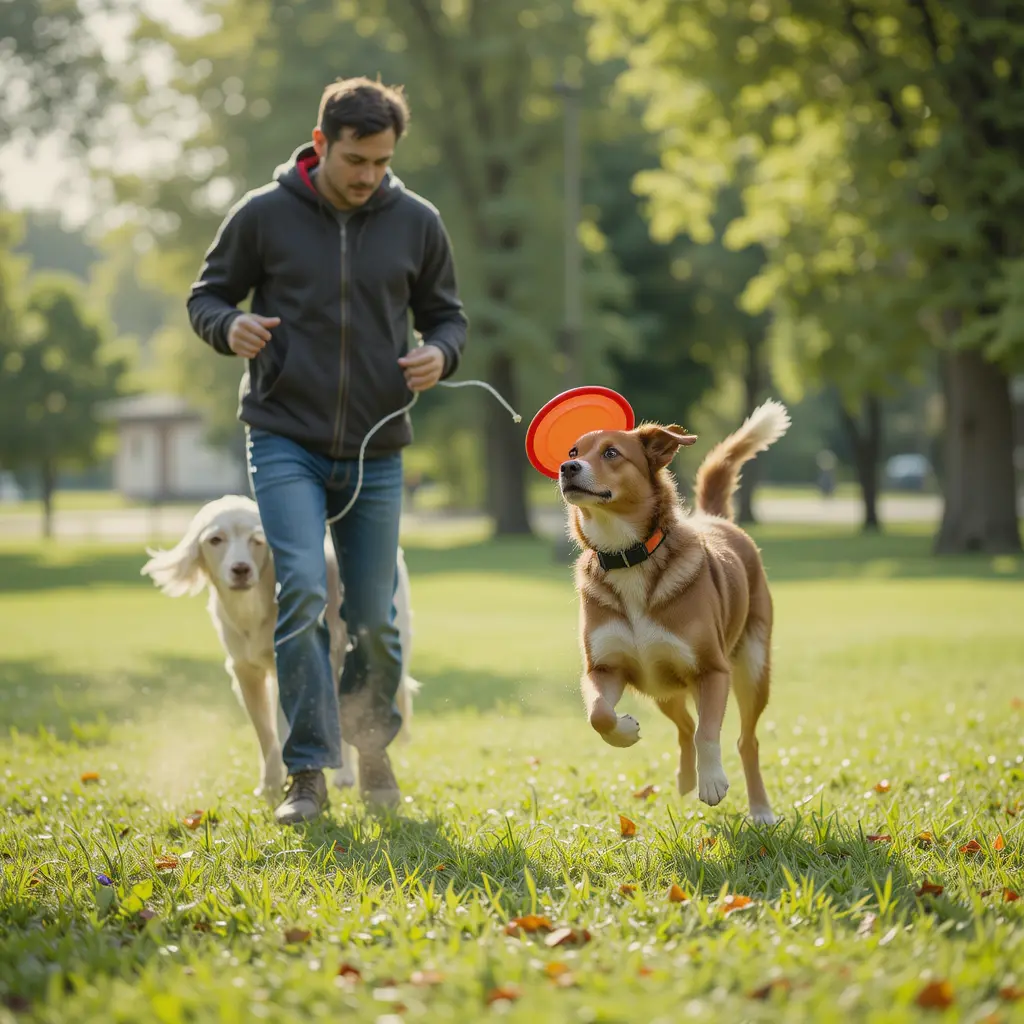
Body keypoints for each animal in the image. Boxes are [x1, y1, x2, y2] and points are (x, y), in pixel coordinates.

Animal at [140, 495, 419, 798]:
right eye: (216, 539)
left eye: (257, 540)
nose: (241, 569)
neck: (253, 609)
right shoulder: (246, 670)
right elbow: (266, 732)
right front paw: (271, 783)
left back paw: (347, 775)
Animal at [561, 399, 790, 823]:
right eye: (573, 451)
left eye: (611, 453)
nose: (567, 468)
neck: (628, 555)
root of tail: (715, 519)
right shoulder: (603, 668)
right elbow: (599, 714)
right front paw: (626, 731)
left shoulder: (712, 671)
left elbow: (707, 732)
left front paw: (712, 781)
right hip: (660, 687)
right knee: (684, 726)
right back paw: (684, 780)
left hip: (751, 669)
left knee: (742, 740)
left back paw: (760, 809)